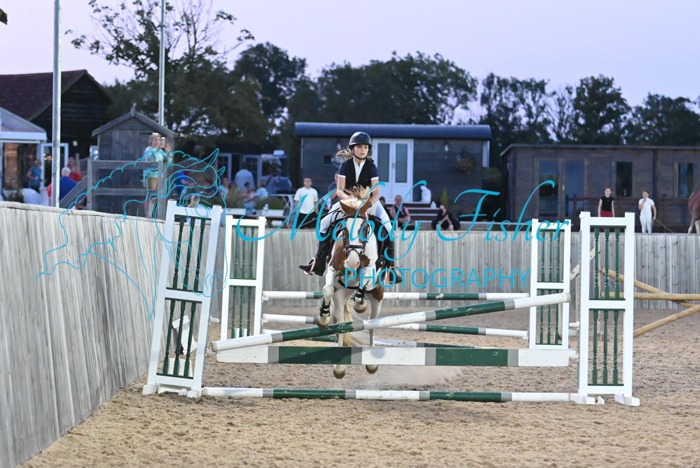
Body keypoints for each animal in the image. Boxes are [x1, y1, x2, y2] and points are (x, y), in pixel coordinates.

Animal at [316, 187, 384, 379]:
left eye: (365, 228)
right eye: (344, 229)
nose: (352, 263)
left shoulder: (371, 270)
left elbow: (364, 282)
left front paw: (360, 304)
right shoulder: (333, 269)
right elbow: (327, 289)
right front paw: (323, 316)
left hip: (378, 296)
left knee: (371, 323)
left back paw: (371, 365)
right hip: (341, 296)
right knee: (340, 323)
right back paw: (339, 368)